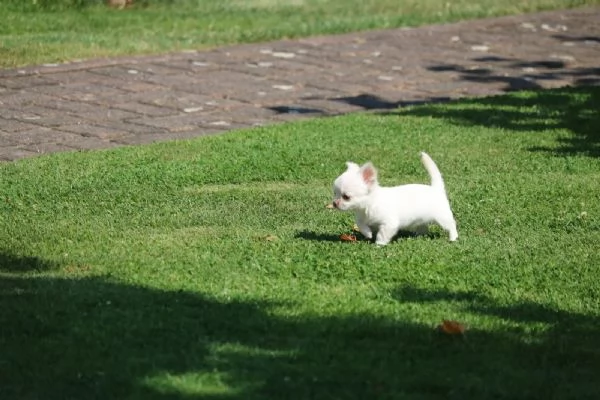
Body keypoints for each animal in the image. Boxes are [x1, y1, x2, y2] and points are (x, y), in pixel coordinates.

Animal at [332, 152, 460, 245]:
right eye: (335, 193)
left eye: (346, 197)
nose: (334, 203)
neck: (367, 207)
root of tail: (436, 188)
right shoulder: (362, 218)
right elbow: (361, 225)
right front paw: (368, 234)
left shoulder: (389, 223)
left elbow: (382, 234)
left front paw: (379, 244)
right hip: (422, 219)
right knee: (423, 227)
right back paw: (419, 235)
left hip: (442, 217)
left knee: (451, 225)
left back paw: (453, 238)